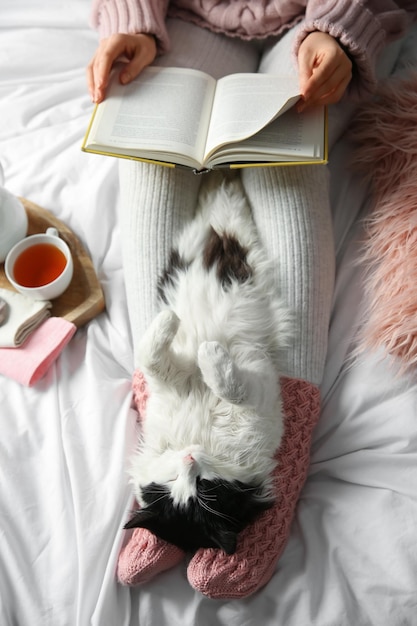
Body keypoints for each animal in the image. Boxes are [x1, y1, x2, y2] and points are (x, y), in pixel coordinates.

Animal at [125, 171, 290, 552]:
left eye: (203, 489)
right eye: (175, 482)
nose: (189, 458)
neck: (199, 437)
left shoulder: (254, 392)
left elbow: (225, 383)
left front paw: (203, 348)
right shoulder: (173, 379)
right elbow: (154, 356)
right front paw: (200, 344)